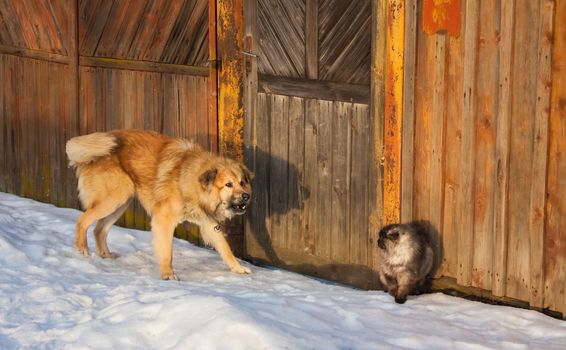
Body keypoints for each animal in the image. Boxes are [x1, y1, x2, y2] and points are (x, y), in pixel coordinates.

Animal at [65, 130, 254, 280]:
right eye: (228, 184)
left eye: (242, 182)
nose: (247, 196)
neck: (188, 178)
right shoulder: (164, 220)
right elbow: (167, 252)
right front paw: (168, 274)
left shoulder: (208, 223)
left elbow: (225, 248)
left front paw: (238, 268)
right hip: (113, 198)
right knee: (82, 221)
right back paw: (82, 249)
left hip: (120, 204)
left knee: (99, 229)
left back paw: (105, 255)